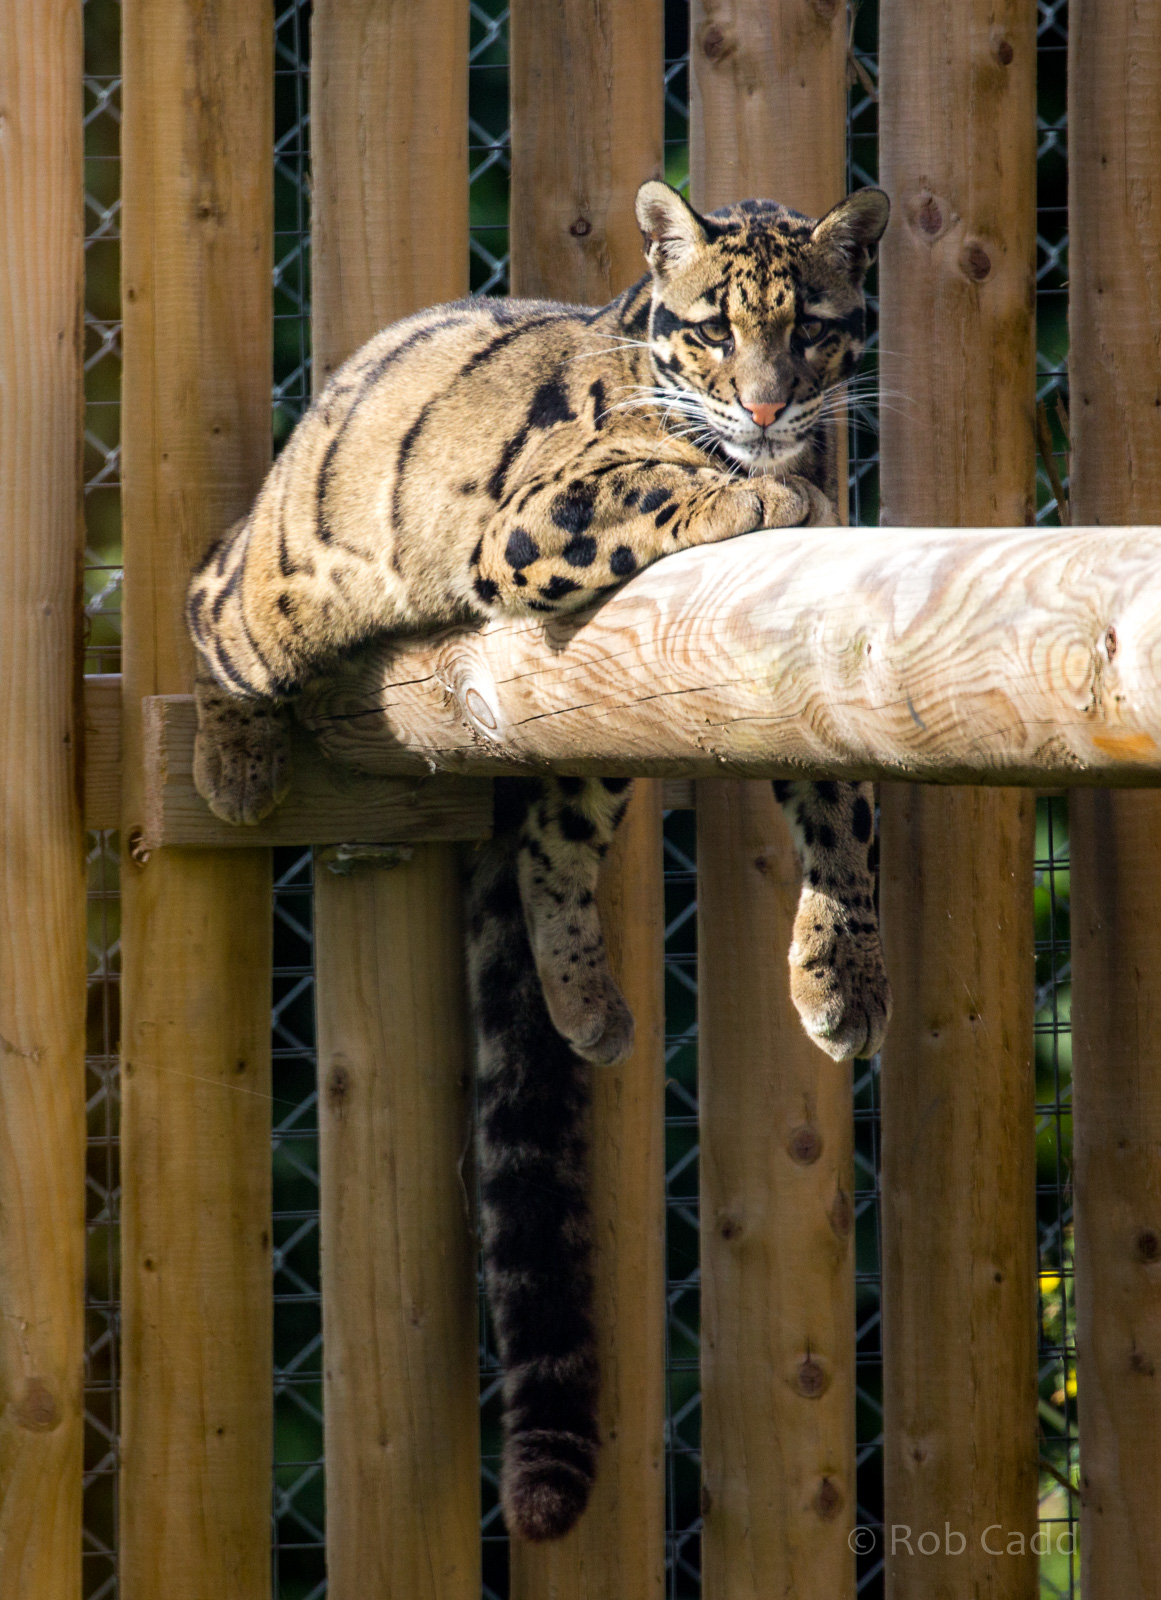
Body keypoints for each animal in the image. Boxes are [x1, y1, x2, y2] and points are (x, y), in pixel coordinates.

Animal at [186, 178, 893, 1543]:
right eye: (715, 330)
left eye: (816, 330)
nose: (768, 409)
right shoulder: (531, 521)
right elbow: (669, 489)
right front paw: (747, 487)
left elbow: (843, 810)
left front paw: (842, 977)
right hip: (275, 591)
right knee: (210, 600)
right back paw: (231, 757)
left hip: (586, 751)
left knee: (552, 855)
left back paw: (587, 1005)